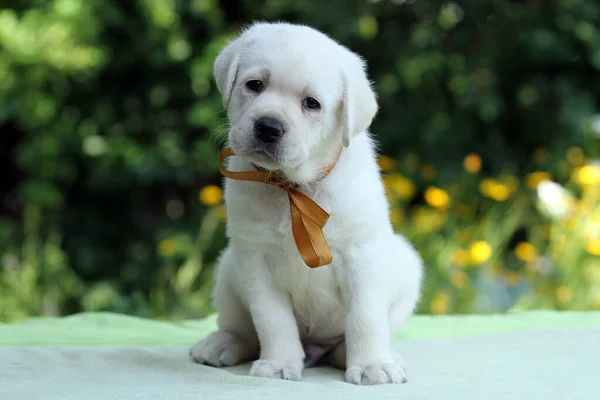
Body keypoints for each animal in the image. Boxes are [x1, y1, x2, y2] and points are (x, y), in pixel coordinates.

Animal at [190, 21, 424, 384]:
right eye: (254, 85)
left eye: (311, 103)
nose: (268, 127)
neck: (293, 187)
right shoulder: (255, 259)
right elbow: (272, 320)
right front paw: (279, 364)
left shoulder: (362, 255)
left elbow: (366, 317)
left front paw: (372, 365)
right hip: (228, 270)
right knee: (242, 331)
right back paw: (220, 344)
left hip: (407, 267)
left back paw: (369, 355)